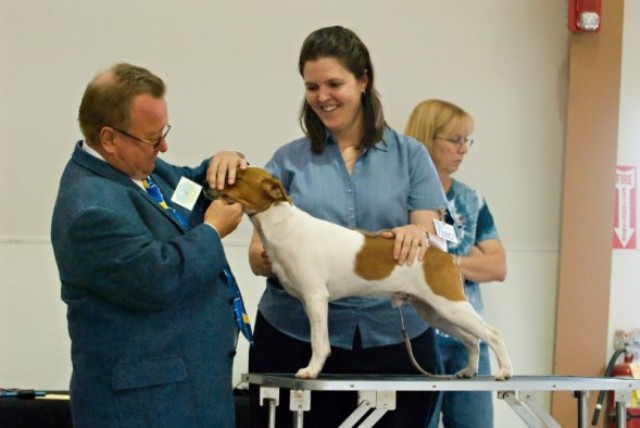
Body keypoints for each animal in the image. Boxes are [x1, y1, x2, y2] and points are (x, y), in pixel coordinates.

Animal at [212, 167, 512, 382]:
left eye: (238, 178)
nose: (207, 182)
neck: (284, 226)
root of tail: (447, 257)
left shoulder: (316, 298)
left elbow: (319, 342)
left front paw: (311, 371)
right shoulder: (310, 302)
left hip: (449, 305)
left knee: (492, 334)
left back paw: (504, 371)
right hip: (435, 311)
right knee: (472, 339)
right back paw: (468, 371)